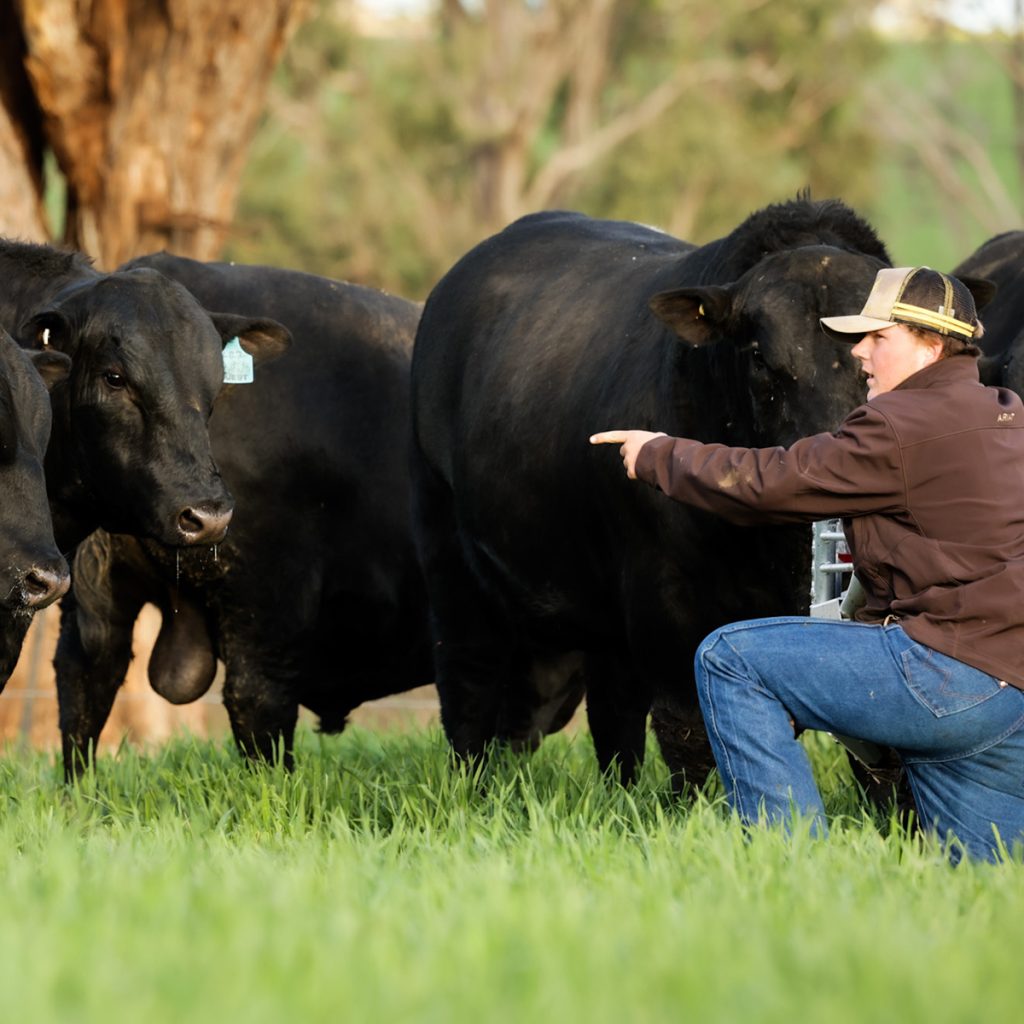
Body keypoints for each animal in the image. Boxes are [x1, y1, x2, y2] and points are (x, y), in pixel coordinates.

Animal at [407, 195, 888, 782]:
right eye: (758, 356)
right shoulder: (668, 602)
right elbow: (691, 732)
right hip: (448, 554)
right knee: (468, 685)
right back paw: (473, 784)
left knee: (596, 709)